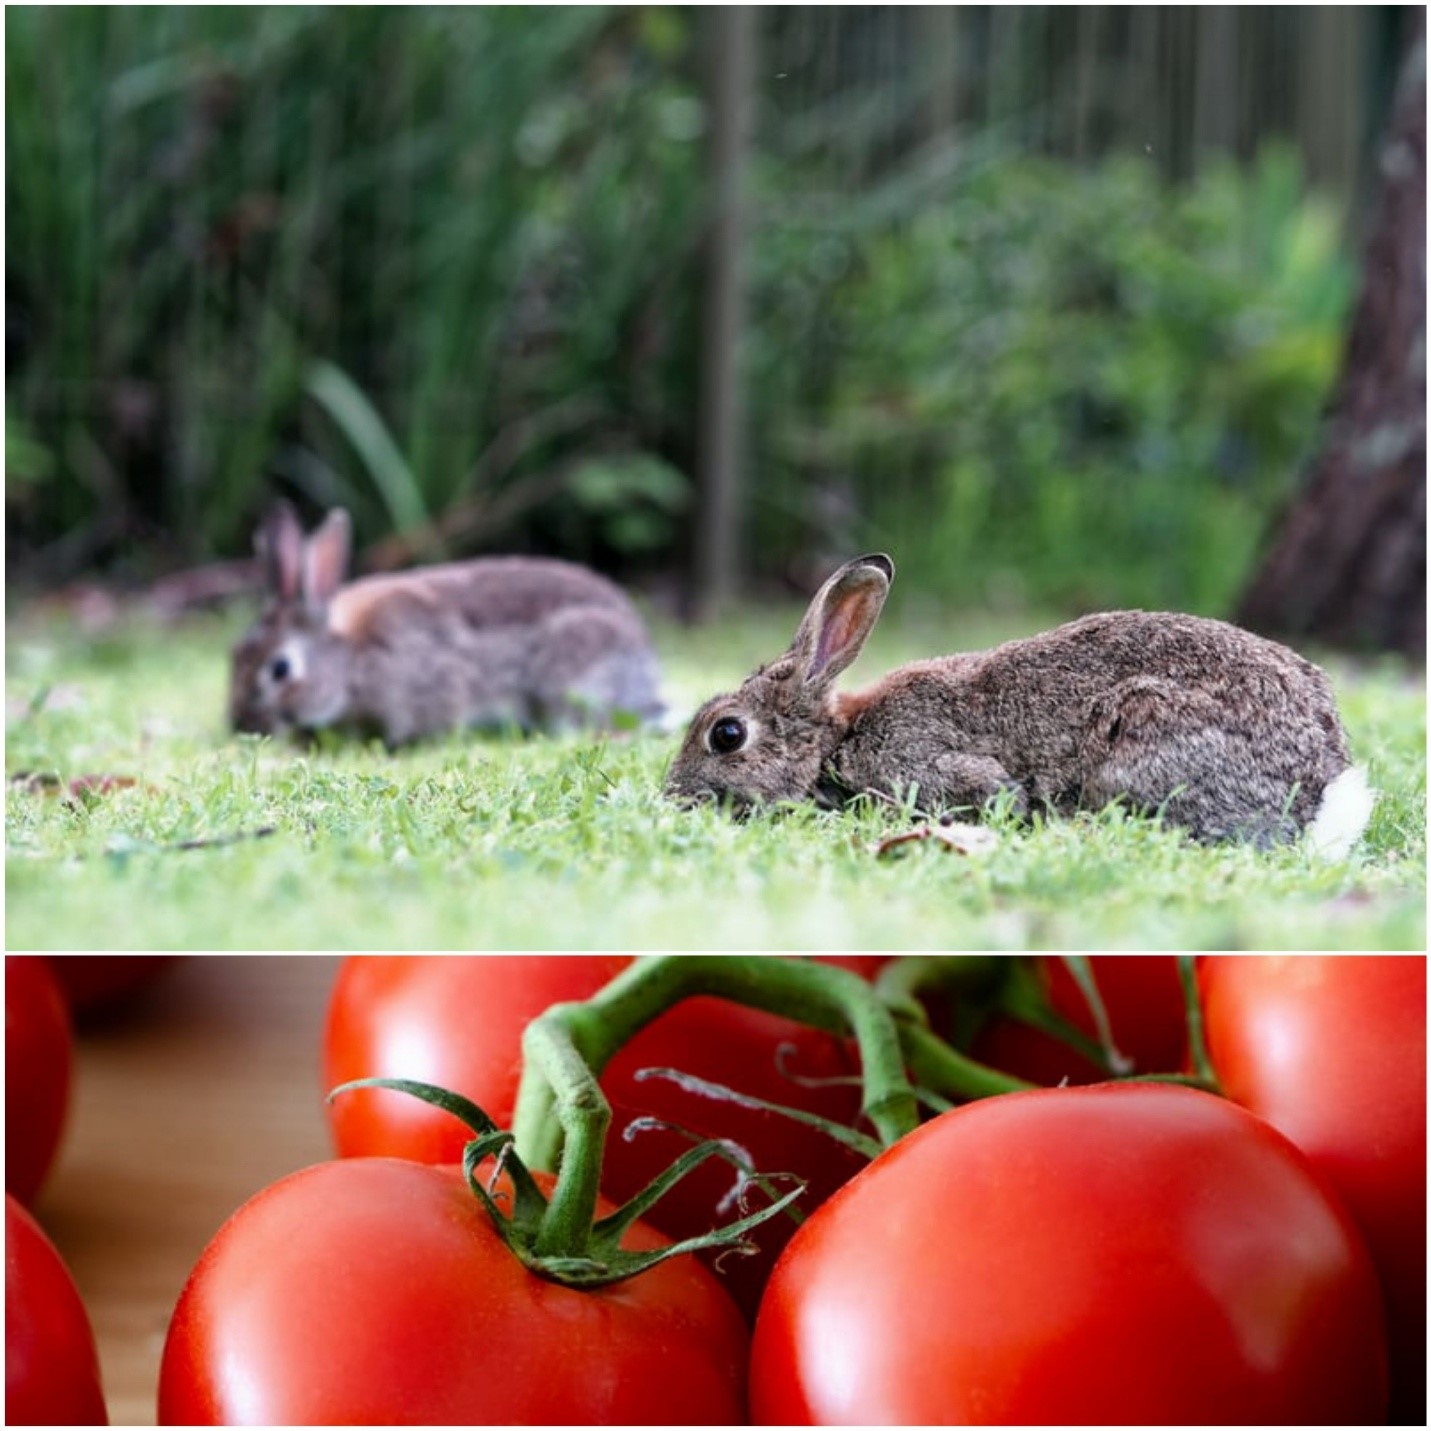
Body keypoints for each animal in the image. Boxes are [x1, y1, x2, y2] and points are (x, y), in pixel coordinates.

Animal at [664, 553, 1374, 855]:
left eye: (726, 735)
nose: (673, 796)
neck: (836, 740)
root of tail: (1324, 791)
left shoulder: (934, 768)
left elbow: (993, 790)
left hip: (1143, 735)